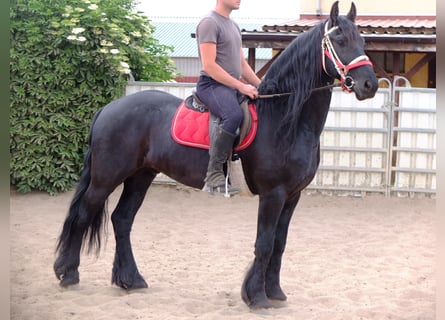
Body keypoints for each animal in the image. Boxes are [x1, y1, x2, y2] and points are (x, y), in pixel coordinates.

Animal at [53, 1, 376, 308]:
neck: (284, 118)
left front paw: (274, 292)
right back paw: (68, 273)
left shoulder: (292, 196)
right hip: (106, 178)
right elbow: (265, 243)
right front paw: (256, 297)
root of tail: (108, 109)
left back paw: (130, 279)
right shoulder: (273, 194)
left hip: (140, 176)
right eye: (340, 40)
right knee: (83, 215)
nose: (369, 85)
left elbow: (280, 244)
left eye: (361, 40)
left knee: (122, 220)